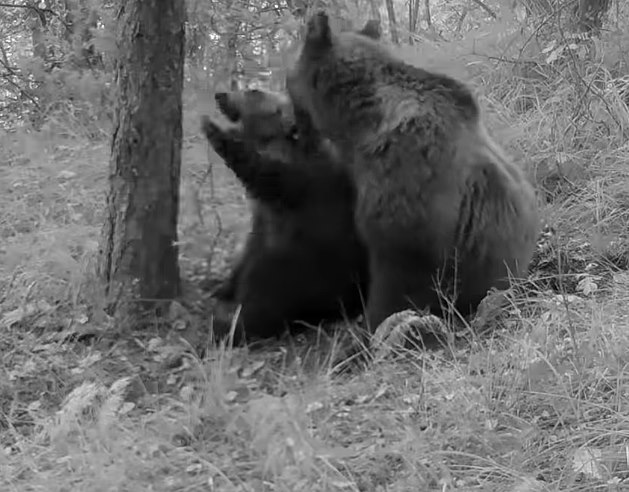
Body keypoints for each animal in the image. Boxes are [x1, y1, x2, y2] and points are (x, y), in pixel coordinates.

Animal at [200, 88, 368, 342]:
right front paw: (216, 286)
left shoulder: (304, 189)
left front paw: (217, 131)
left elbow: (264, 170)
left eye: (254, 91)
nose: (221, 94)